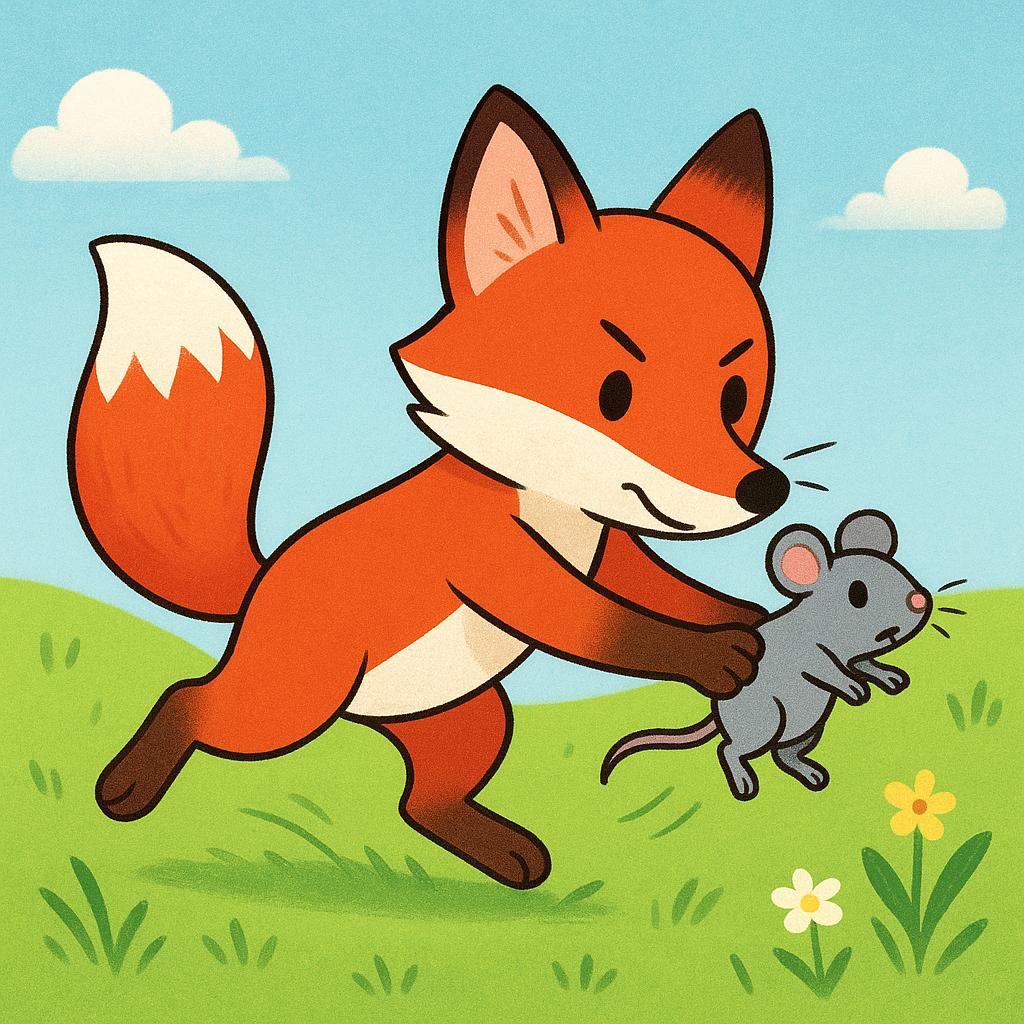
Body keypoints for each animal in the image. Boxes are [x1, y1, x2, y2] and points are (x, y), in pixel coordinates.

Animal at [70, 86, 790, 889]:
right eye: (613, 393)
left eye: (735, 397)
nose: (763, 491)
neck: (552, 501)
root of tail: (259, 581)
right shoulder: (501, 564)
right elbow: (609, 625)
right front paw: (710, 655)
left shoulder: (610, 548)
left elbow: (665, 586)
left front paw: (740, 614)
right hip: (287, 707)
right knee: (190, 701)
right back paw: (126, 787)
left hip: (471, 718)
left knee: (420, 804)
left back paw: (507, 854)